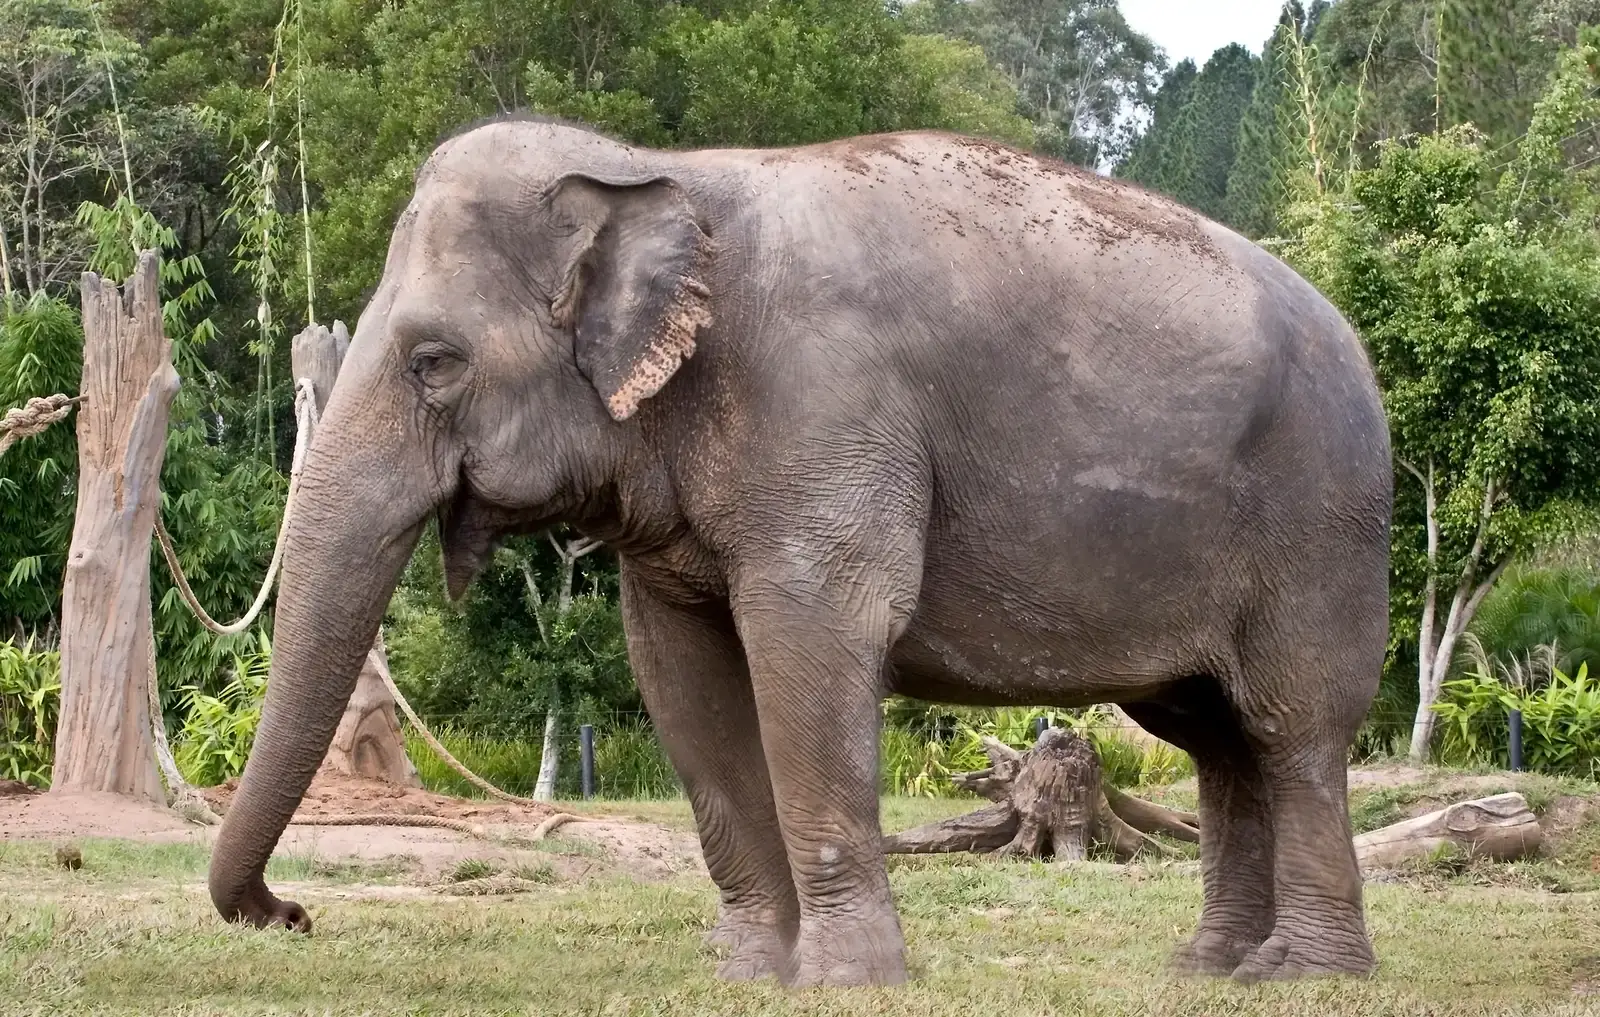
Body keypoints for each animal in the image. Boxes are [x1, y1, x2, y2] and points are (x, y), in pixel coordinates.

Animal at [207, 114, 1392, 989]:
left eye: (434, 362)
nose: (292, 912)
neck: (663, 173)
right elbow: (680, 673)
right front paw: (749, 973)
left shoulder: (825, 410)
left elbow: (810, 643)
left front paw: (844, 981)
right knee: (1212, 736)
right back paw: (1209, 968)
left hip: (1321, 525)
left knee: (1290, 728)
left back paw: (1300, 975)